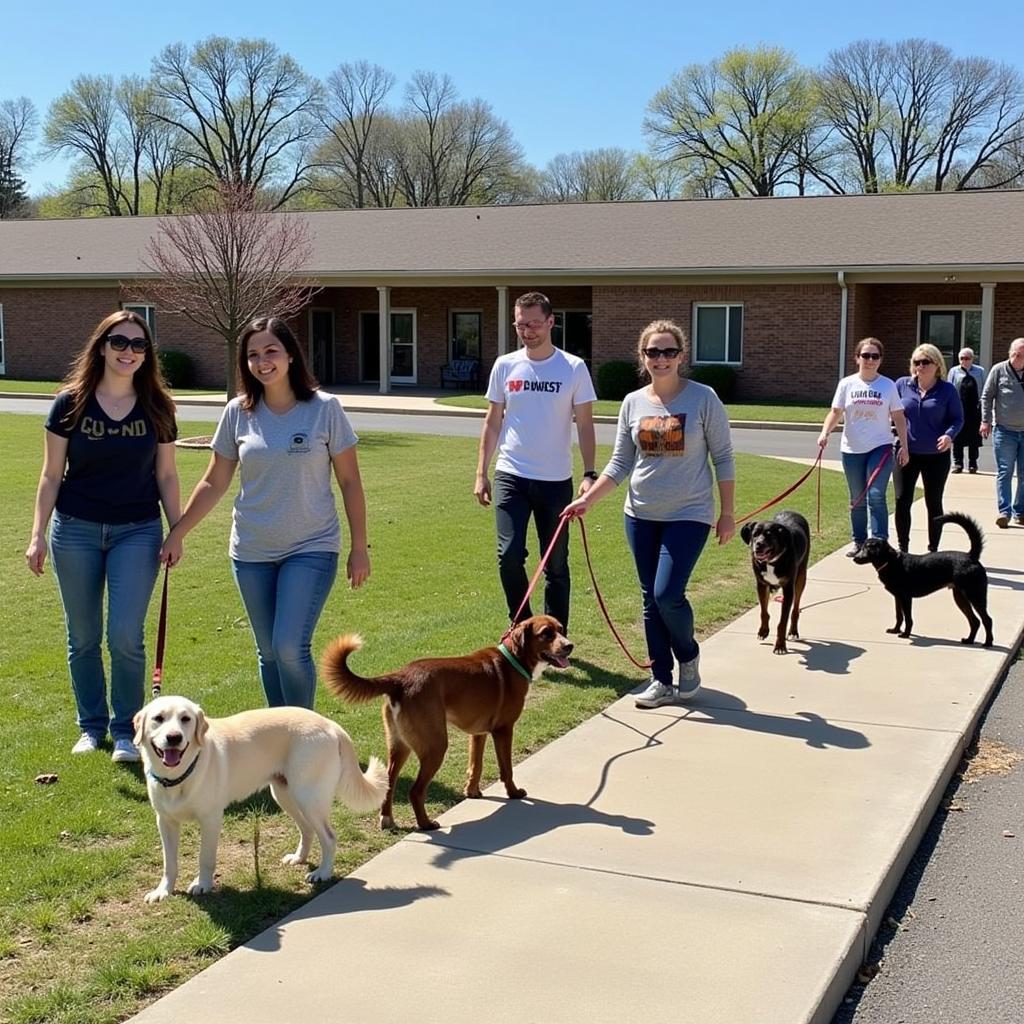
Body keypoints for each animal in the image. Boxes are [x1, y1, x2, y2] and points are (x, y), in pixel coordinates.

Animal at [135, 696, 387, 905]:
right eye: (158, 718)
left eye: (185, 719)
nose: (174, 737)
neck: (177, 777)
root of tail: (330, 724)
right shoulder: (165, 822)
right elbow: (169, 863)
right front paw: (163, 891)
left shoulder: (211, 819)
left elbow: (205, 857)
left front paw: (203, 885)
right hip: (285, 795)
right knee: (307, 829)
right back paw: (299, 858)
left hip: (308, 797)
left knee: (329, 837)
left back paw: (323, 873)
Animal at [321, 614, 573, 831]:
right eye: (546, 633)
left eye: (561, 629)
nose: (569, 646)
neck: (514, 659)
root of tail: (400, 678)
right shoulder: (503, 730)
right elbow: (506, 769)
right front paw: (513, 793)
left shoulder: (478, 733)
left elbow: (475, 765)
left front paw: (472, 792)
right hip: (436, 745)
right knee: (415, 791)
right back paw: (425, 824)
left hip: (399, 745)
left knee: (390, 783)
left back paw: (387, 819)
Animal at [741, 509, 811, 655]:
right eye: (755, 534)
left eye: (769, 535)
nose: (758, 544)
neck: (771, 561)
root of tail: (792, 511)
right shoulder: (761, 585)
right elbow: (764, 612)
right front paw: (763, 631)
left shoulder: (788, 589)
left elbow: (782, 622)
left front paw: (780, 646)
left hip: (801, 577)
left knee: (795, 608)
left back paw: (793, 631)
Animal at [851, 512, 995, 647]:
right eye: (862, 547)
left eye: (869, 548)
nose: (855, 558)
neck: (891, 562)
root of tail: (971, 556)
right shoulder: (897, 597)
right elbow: (899, 616)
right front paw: (895, 630)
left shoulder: (906, 597)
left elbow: (908, 618)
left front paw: (905, 634)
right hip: (960, 597)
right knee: (975, 621)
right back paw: (969, 640)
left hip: (975, 595)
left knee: (987, 619)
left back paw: (988, 643)